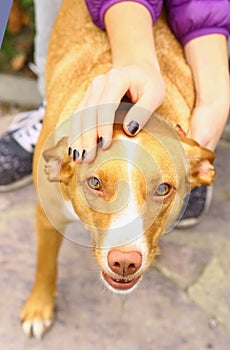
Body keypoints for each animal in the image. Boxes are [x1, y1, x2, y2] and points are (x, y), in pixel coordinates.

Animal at [20, 0, 216, 340]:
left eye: (163, 189)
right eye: (95, 183)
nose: (125, 263)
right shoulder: (47, 216)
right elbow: (45, 265)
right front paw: (39, 307)